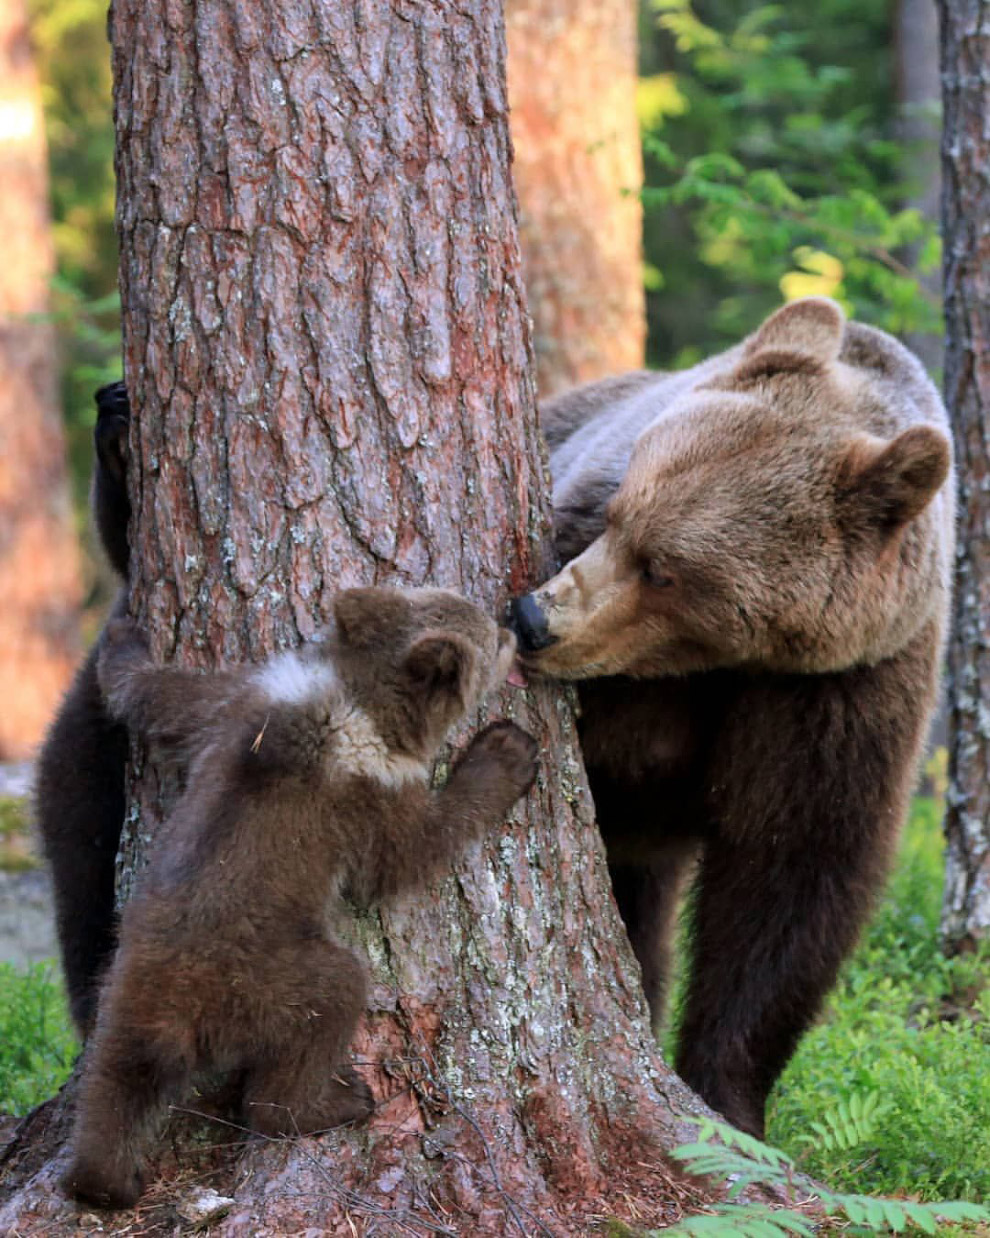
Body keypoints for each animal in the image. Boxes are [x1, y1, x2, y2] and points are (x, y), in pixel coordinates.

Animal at [61, 594, 534, 1203]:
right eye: (490, 637)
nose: (513, 625)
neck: (354, 702)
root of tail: (173, 1011)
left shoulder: (235, 707)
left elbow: (158, 695)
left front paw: (124, 637)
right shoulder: (365, 797)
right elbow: (411, 850)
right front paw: (506, 751)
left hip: (120, 979)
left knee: (112, 1083)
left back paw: (100, 1179)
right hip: (267, 978)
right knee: (329, 1001)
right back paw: (337, 1100)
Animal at [507, 299, 955, 1138]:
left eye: (666, 570)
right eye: (618, 512)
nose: (534, 619)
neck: (716, 663)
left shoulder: (838, 692)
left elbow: (791, 879)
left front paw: (727, 1104)